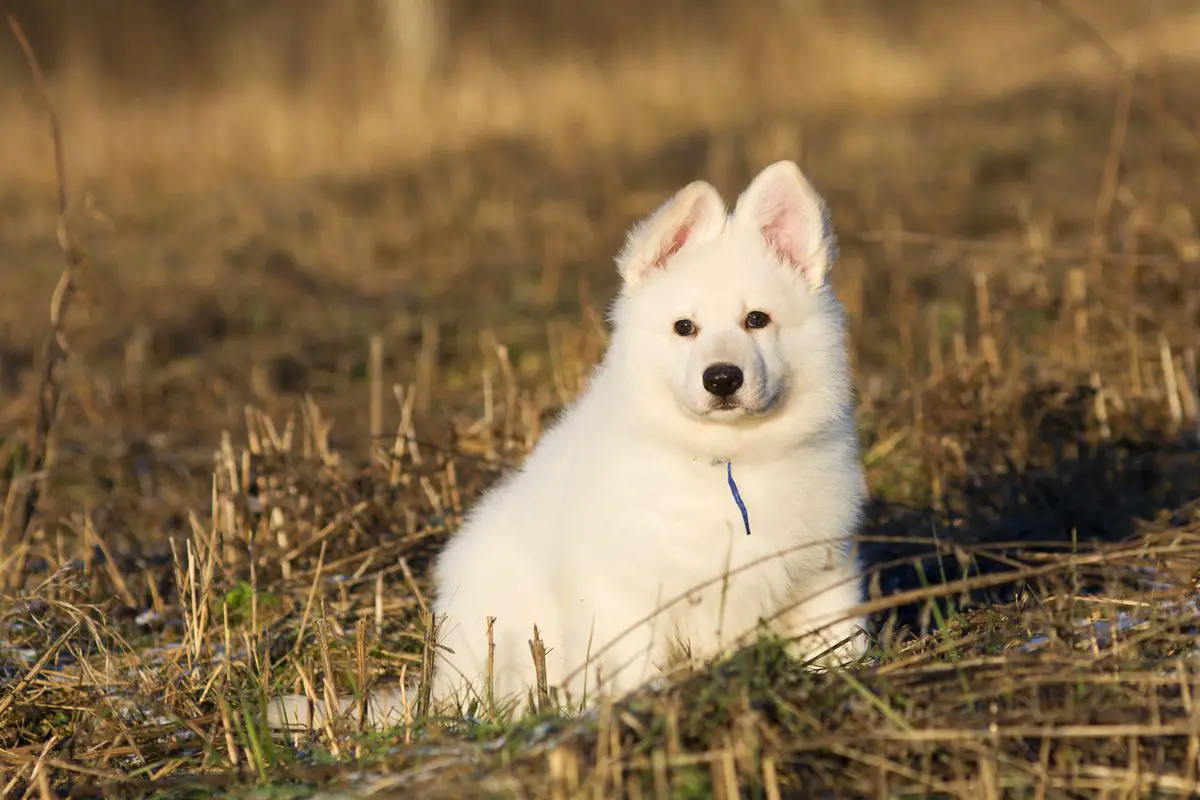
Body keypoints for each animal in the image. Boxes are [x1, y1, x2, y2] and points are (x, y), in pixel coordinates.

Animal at [434, 159, 873, 714]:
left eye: (757, 319)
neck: (724, 460)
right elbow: (631, 668)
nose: (722, 379)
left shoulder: (823, 572)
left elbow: (836, 639)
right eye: (684, 327)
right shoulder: (625, 595)